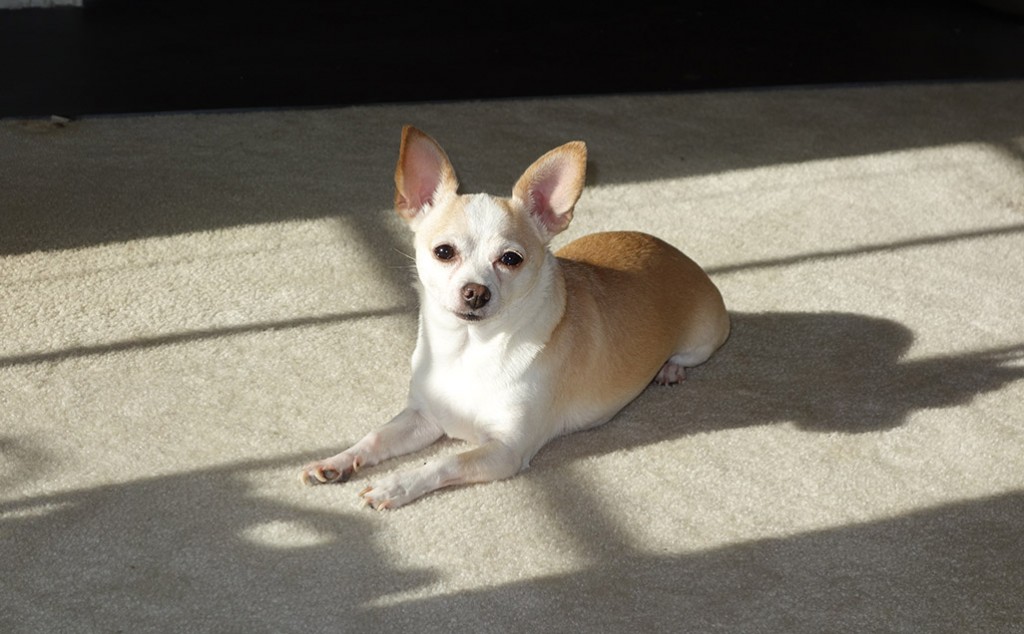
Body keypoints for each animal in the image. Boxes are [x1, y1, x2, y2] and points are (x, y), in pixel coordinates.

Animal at [296, 126, 729, 508]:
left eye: (511, 259)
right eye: (443, 252)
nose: (476, 291)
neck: (469, 350)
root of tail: (674, 252)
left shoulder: (505, 450)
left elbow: (442, 462)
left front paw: (396, 485)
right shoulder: (423, 417)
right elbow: (376, 438)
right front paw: (336, 461)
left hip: (702, 342)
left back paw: (670, 369)